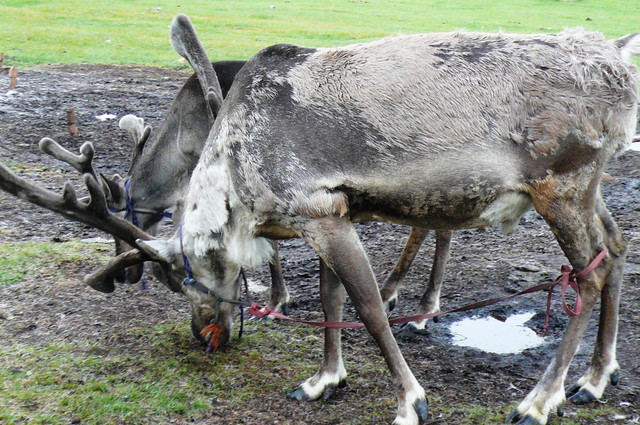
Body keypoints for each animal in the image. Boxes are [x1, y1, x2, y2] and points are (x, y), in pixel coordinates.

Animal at [1, 14, 638, 425]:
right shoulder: (330, 211)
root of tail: (619, 67)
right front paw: (325, 380)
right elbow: (332, 299)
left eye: (181, 278)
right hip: (586, 188)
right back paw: (595, 379)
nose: (204, 336)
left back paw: (539, 400)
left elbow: (368, 307)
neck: (231, 170)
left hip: (559, 184)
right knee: (617, 245)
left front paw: (410, 400)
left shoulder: (318, 213)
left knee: (587, 276)